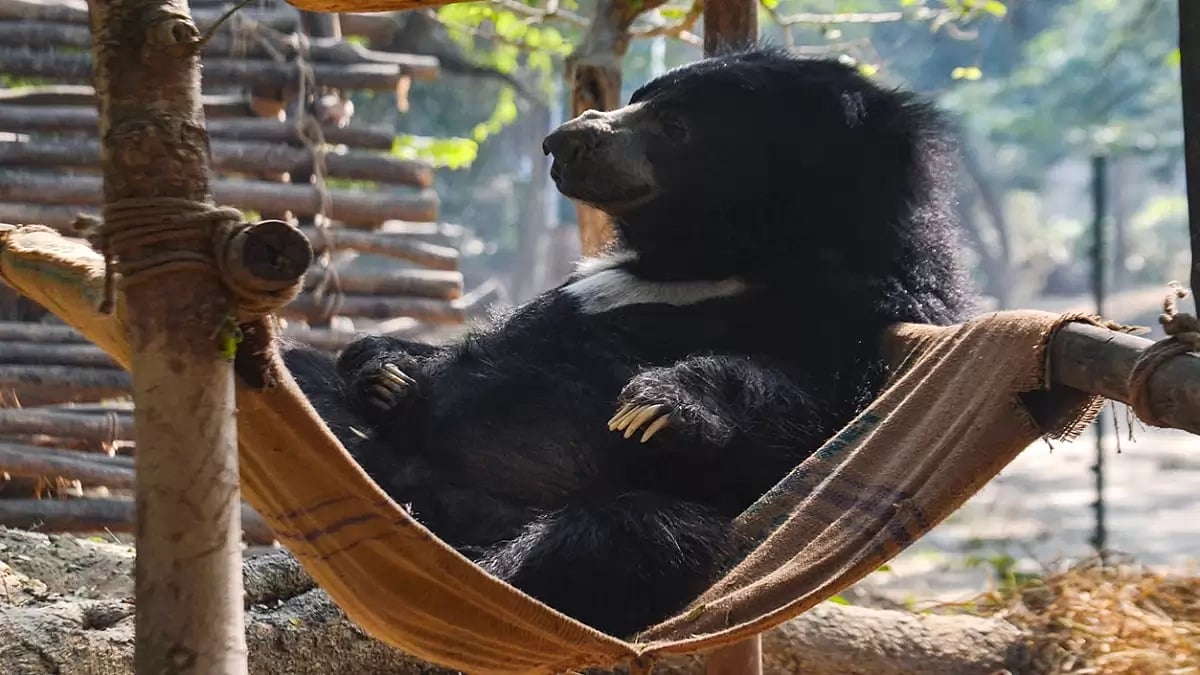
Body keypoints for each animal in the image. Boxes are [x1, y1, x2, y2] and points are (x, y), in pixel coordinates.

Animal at [278, 43, 973, 639]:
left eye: (674, 125)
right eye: (639, 98)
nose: (560, 141)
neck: (706, 253)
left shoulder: (856, 311)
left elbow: (800, 408)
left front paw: (657, 406)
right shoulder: (591, 278)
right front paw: (385, 371)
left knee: (624, 537)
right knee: (298, 375)